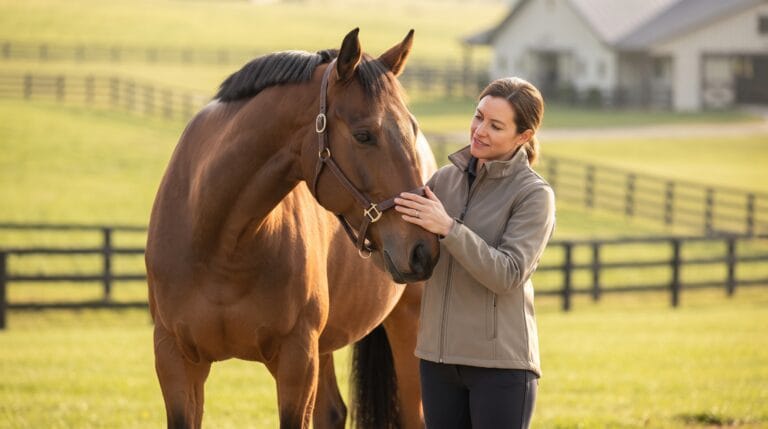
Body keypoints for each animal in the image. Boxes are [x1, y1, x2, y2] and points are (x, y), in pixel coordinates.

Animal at [145, 28, 439, 429]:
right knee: (333, 412)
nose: (424, 248)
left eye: (411, 128)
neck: (221, 244)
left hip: (405, 325)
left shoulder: (297, 360)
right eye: (364, 135)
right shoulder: (175, 359)